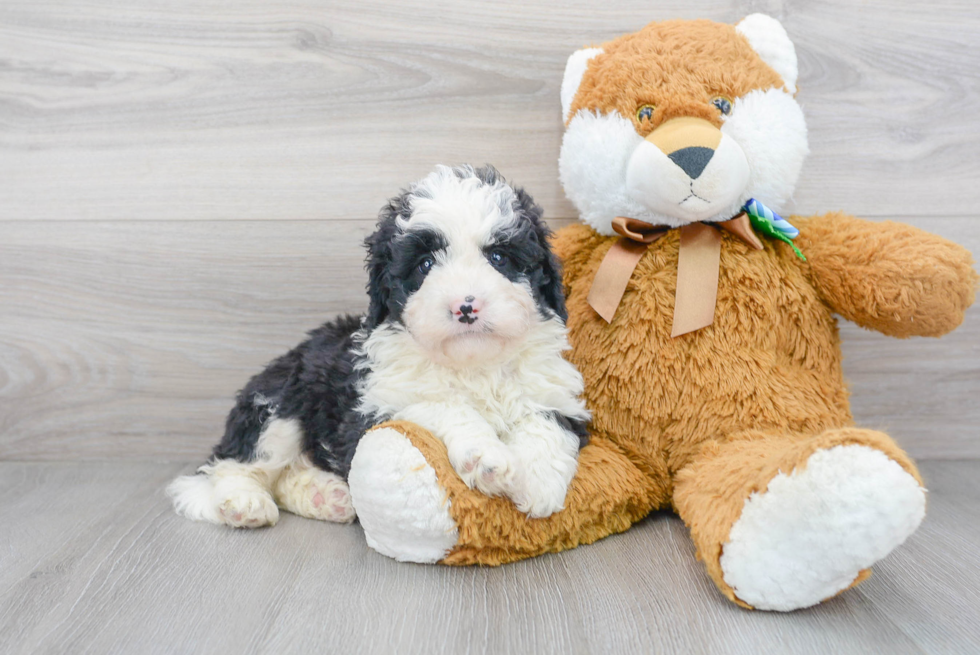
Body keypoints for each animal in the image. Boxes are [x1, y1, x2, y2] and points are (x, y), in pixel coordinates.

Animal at [167, 167, 588, 532]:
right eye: (425, 264)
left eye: (499, 257)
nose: (465, 307)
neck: (473, 365)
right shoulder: (381, 404)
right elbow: (443, 406)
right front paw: (486, 456)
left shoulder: (556, 395)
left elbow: (546, 424)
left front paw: (538, 482)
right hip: (277, 406)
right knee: (230, 465)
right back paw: (244, 502)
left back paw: (327, 497)